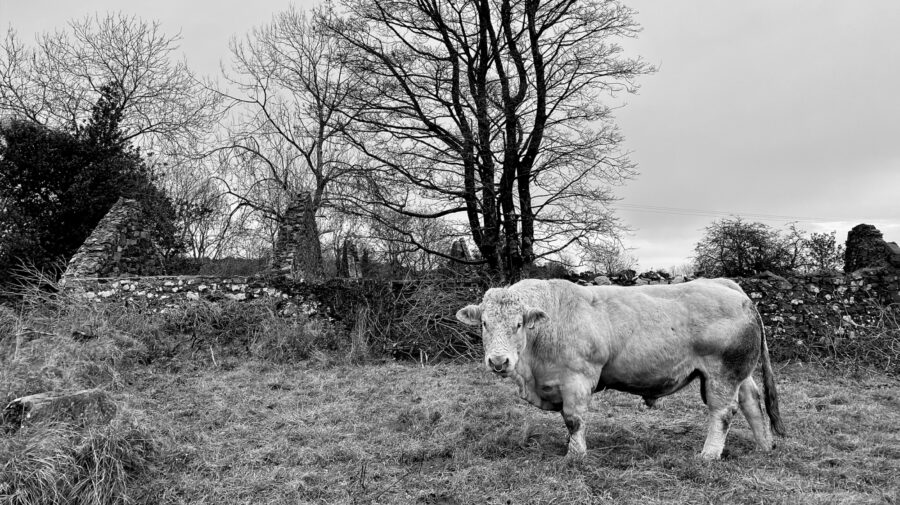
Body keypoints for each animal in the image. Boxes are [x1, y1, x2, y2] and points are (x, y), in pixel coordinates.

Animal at [460, 278, 784, 458]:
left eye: (518, 324)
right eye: (484, 323)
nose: (499, 361)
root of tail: (731, 288)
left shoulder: (577, 379)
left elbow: (573, 419)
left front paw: (575, 454)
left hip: (722, 373)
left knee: (723, 412)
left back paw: (709, 454)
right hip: (739, 372)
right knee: (752, 401)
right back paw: (763, 445)